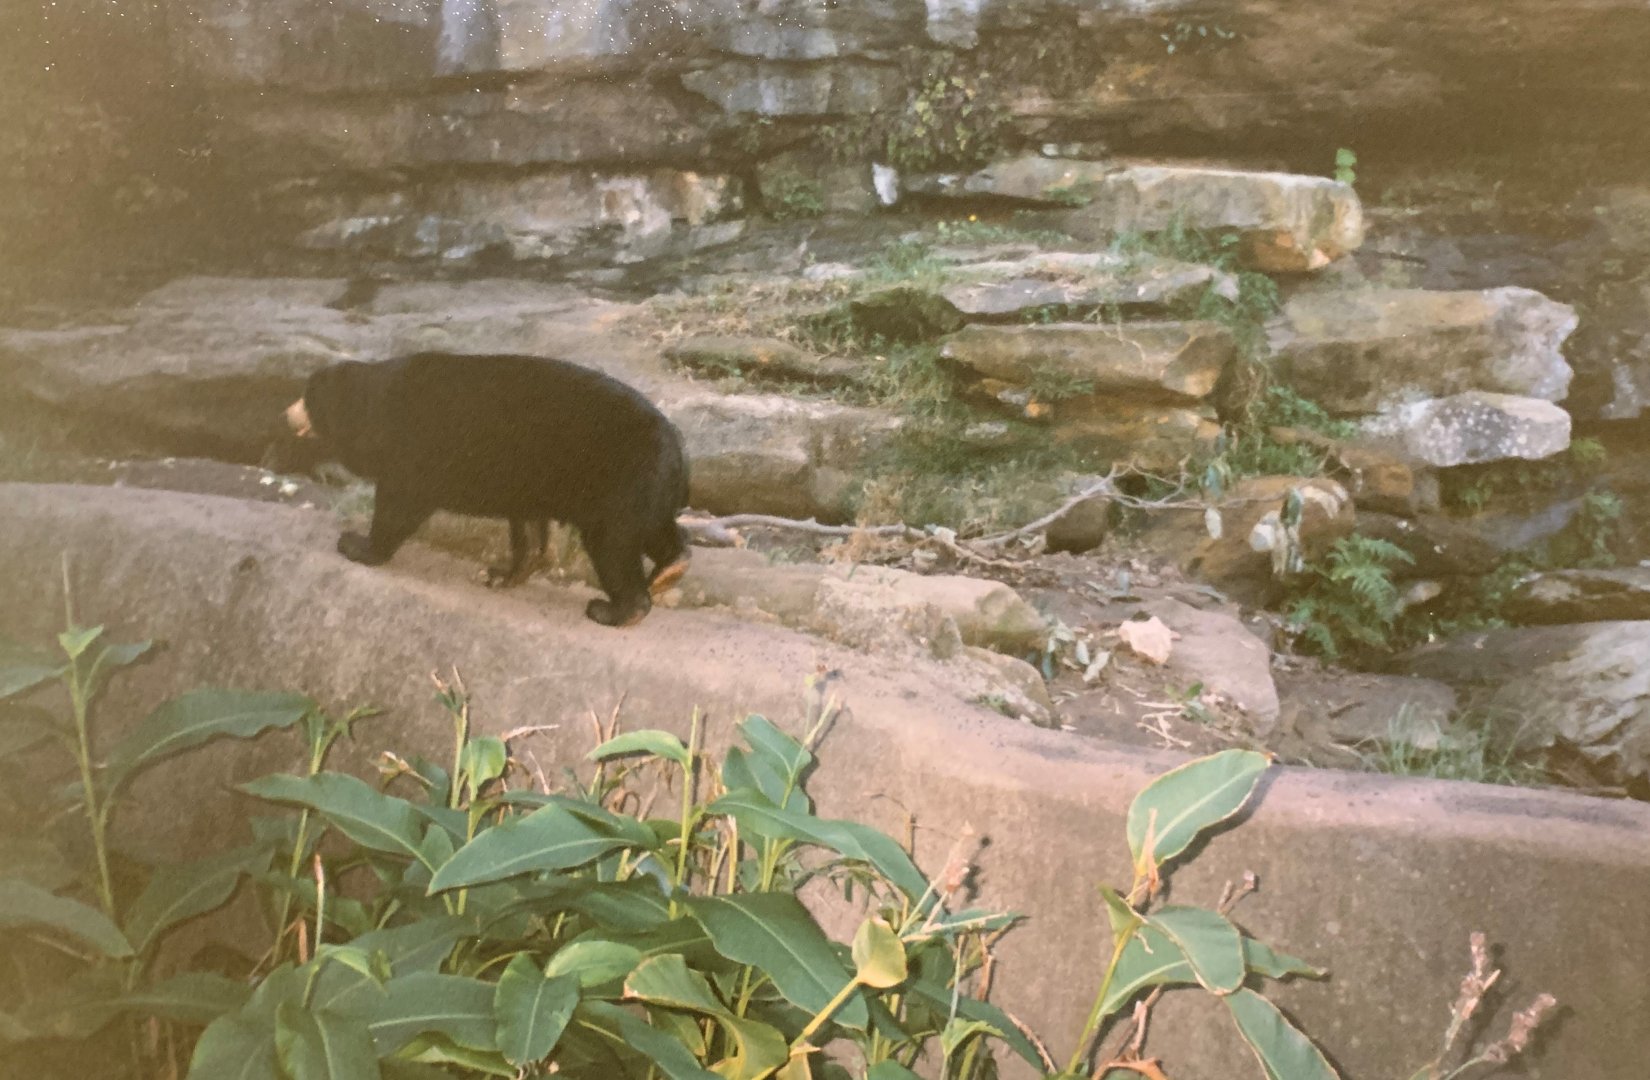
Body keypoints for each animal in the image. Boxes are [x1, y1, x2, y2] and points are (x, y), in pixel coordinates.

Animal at [285, 352, 690, 627]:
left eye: (306, 396)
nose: (286, 414)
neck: (374, 409)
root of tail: (677, 452)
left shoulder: (413, 447)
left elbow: (399, 503)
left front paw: (355, 544)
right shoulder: (528, 483)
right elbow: (529, 529)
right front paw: (501, 574)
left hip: (618, 478)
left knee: (613, 543)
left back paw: (613, 609)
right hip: (642, 487)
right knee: (654, 529)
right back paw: (670, 568)